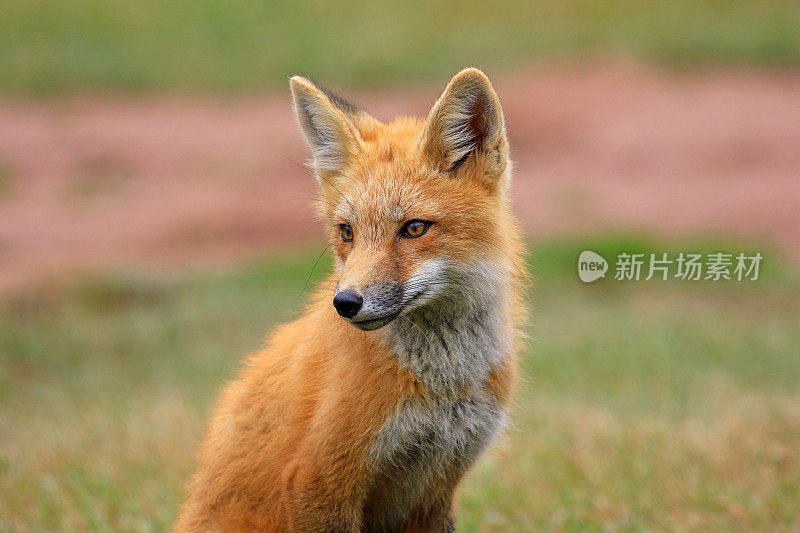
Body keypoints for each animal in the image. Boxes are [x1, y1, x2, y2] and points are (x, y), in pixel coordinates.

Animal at [174, 68, 524, 528]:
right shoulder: (318, 480)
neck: (443, 387)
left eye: (414, 228)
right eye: (347, 232)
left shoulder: (436, 490)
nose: (345, 303)